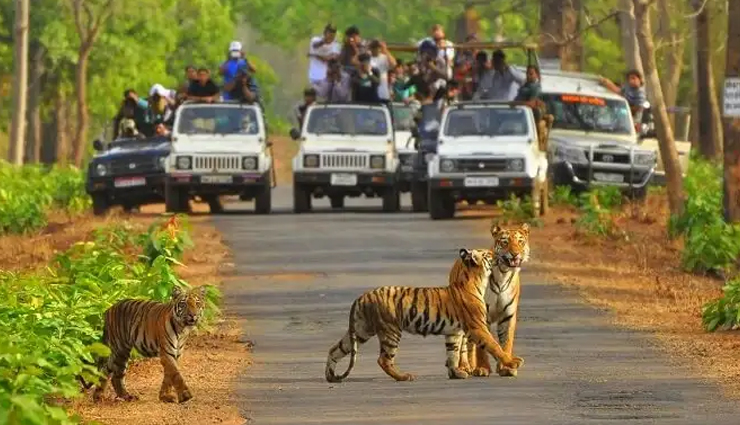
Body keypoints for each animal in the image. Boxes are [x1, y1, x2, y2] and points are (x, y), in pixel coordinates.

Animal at [324, 248, 524, 383]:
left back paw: (330, 376)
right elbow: (494, 345)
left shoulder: (454, 332)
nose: (498, 254)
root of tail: (362, 296)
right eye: (488, 254)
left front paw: (456, 373)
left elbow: (452, 353)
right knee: (384, 359)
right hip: (391, 331)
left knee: (335, 349)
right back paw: (404, 376)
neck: (476, 280)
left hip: (361, 330)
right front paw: (513, 362)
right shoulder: (477, 327)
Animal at [458, 222, 530, 378]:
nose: (515, 253)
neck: (504, 273)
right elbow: (483, 345)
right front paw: (482, 368)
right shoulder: (481, 316)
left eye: (520, 241)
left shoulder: (508, 315)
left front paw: (506, 367)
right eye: (505, 242)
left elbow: (506, 342)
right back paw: (465, 367)